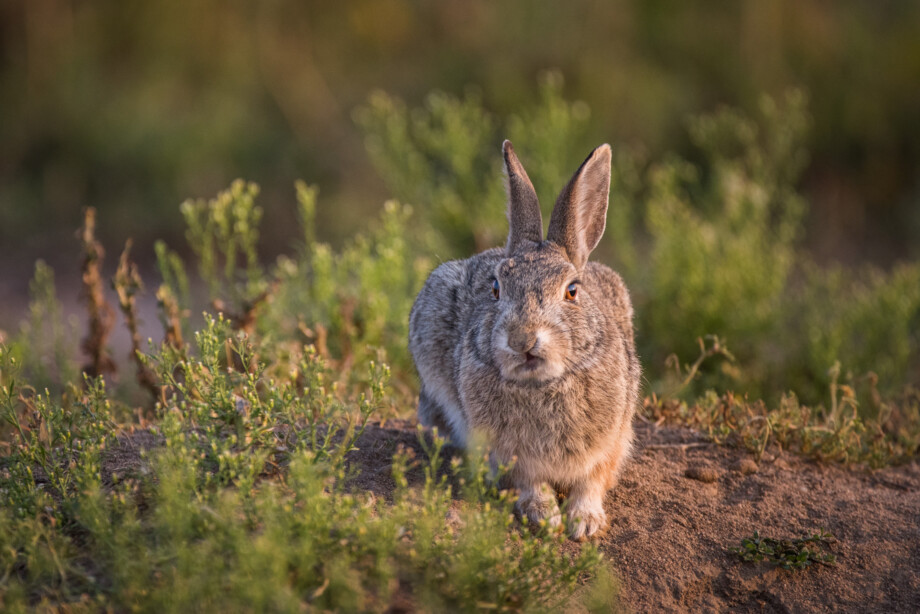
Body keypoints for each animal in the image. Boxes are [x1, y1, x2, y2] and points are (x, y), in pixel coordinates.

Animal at [409, 140, 640, 540]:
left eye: (572, 291)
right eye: (496, 288)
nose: (522, 339)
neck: (542, 385)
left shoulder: (612, 440)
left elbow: (592, 481)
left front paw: (585, 522)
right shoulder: (506, 452)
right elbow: (528, 481)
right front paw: (543, 515)